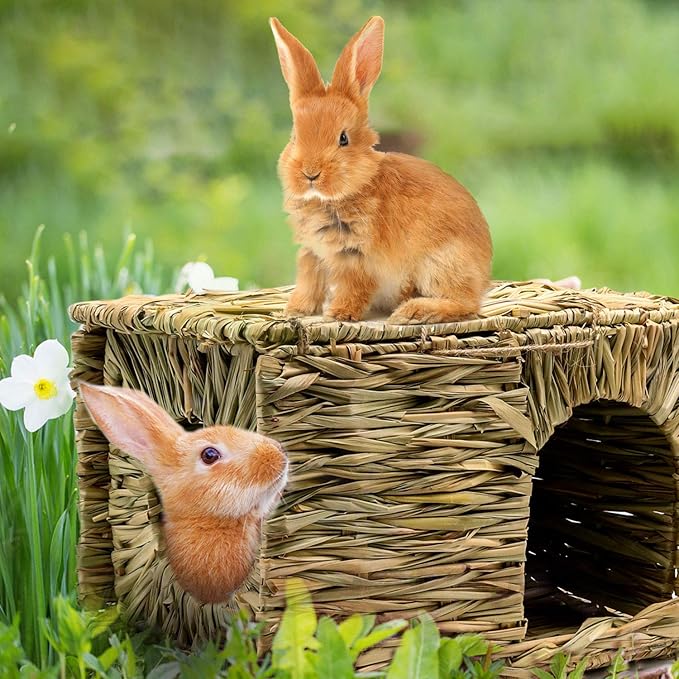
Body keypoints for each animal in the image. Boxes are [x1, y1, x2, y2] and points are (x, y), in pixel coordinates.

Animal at [270, 16, 492, 324]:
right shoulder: (312, 252)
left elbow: (354, 285)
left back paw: (412, 311)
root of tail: (484, 276)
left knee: (465, 304)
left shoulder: (358, 256)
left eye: (343, 139)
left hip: (441, 264)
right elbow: (308, 281)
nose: (310, 174)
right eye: (294, 138)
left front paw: (338, 314)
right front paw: (296, 310)